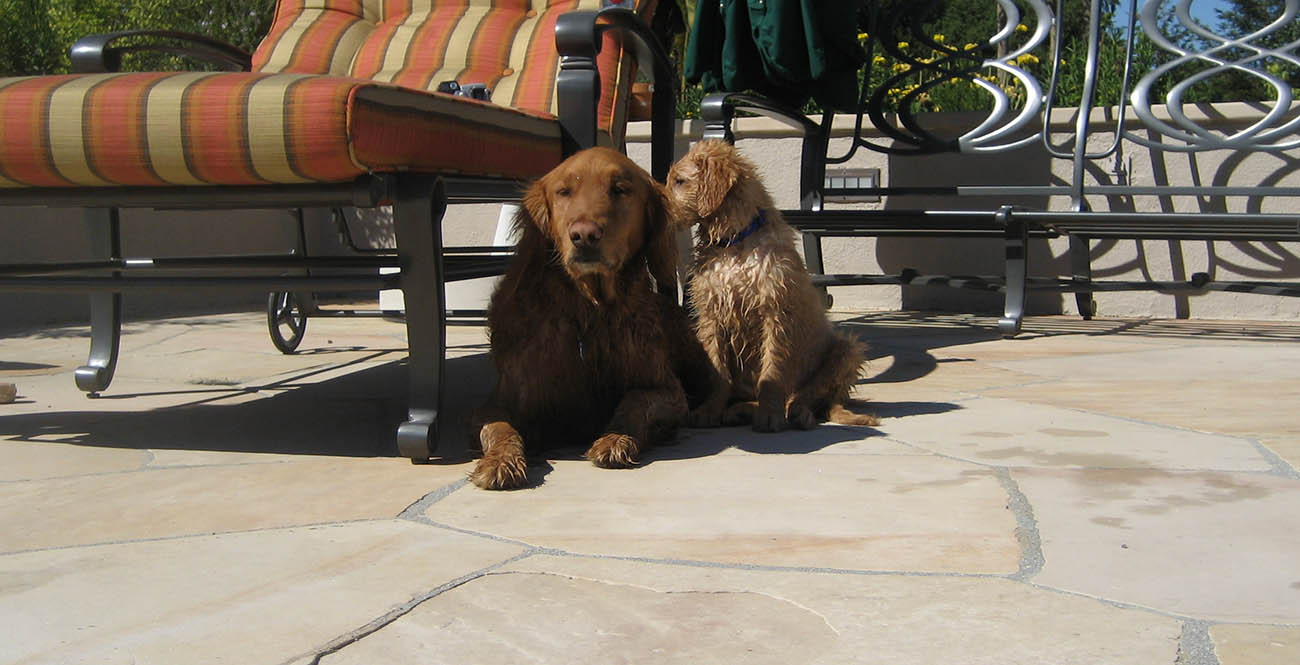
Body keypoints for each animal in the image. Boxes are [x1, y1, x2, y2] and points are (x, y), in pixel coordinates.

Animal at [470, 146, 707, 488]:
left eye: (620, 189)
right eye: (564, 191)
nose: (583, 235)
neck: (588, 310)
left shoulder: (669, 390)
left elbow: (635, 400)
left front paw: (615, 439)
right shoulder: (500, 401)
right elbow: (500, 428)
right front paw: (501, 461)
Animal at [665, 140, 878, 431]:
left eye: (679, 181)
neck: (735, 243)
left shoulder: (776, 313)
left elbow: (773, 369)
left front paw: (769, 415)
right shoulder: (711, 315)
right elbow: (717, 370)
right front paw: (709, 411)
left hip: (848, 349)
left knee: (811, 397)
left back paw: (797, 413)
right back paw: (738, 411)